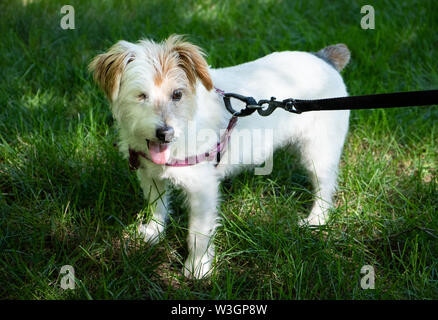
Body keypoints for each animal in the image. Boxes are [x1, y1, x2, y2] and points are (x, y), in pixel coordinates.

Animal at [88, 35, 350, 278]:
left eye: (177, 94)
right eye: (141, 96)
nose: (165, 133)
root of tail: (323, 58)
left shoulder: (202, 189)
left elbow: (197, 233)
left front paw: (198, 268)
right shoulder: (150, 174)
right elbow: (157, 206)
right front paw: (154, 233)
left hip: (319, 153)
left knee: (324, 187)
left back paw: (316, 220)